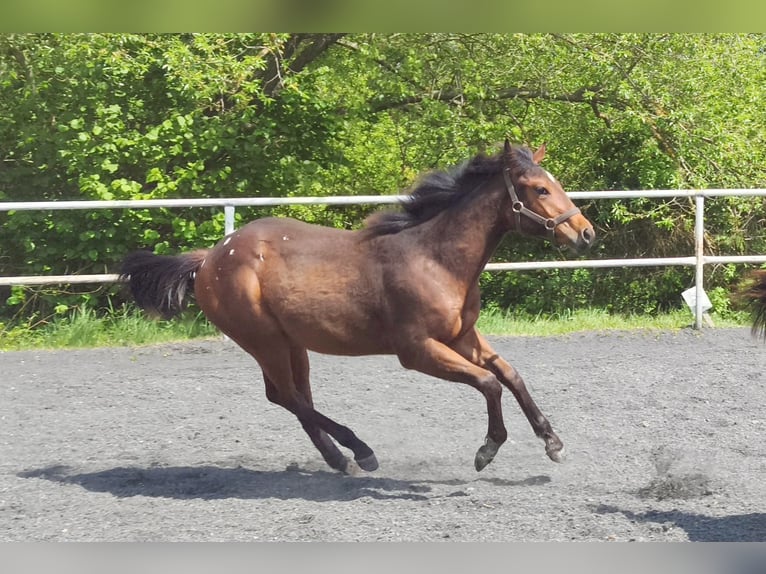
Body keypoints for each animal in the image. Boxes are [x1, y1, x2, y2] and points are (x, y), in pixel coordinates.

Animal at [121, 140, 595, 474]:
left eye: (556, 183)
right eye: (539, 189)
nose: (585, 233)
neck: (435, 258)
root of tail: (209, 258)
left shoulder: (463, 337)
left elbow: (510, 375)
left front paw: (553, 443)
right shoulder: (417, 350)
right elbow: (489, 383)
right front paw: (488, 449)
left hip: (292, 342)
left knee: (293, 396)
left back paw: (341, 459)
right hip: (263, 340)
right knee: (287, 396)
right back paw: (360, 451)